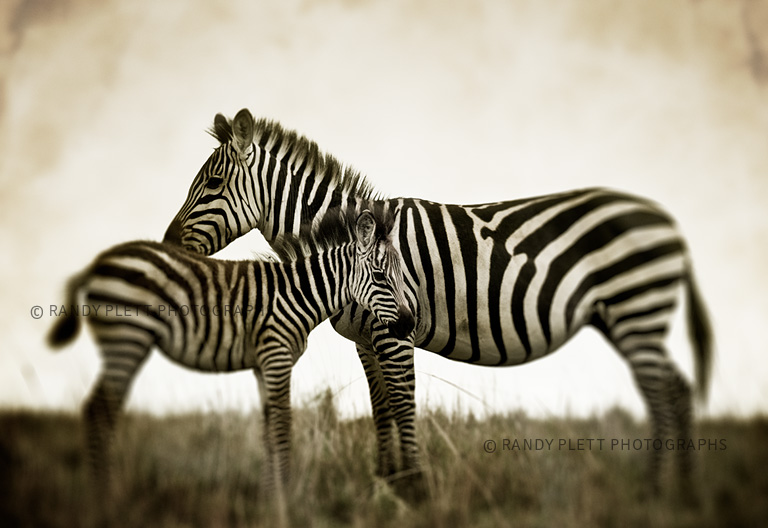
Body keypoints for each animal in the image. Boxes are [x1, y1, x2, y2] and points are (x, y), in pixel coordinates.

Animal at [47, 208, 415, 513]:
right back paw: (104, 501)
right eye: (380, 276)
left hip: (126, 341)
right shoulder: (276, 355)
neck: (299, 294)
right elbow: (283, 425)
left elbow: (268, 429)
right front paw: (286, 502)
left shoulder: (262, 364)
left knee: (98, 409)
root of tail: (99, 262)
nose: (409, 324)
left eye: (401, 276)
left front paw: (269, 501)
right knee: (100, 410)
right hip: (127, 337)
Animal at [163, 108, 713, 496]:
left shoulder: (393, 328)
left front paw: (416, 488)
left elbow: (404, 402)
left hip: (635, 307)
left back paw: (658, 491)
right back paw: (682, 493)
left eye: (212, 183)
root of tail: (664, 220)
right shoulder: (366, 336)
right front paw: (385, 484)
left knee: (662, 394)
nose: (167, 244)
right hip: (626, 315)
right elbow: (380, 405)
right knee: (677, 390)